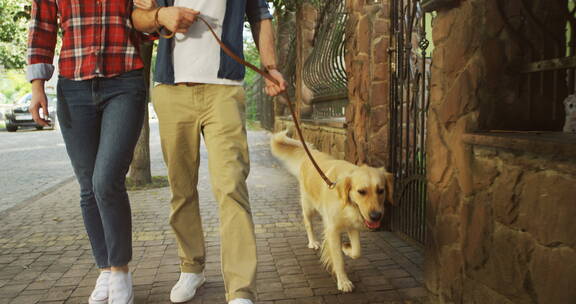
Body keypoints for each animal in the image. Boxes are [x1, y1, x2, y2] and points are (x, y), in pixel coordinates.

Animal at [272, 131, 396, 292]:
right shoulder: (333, 230)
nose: (376, 216)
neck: (346, 202)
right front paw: (343, 281)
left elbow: (357, 251)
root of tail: (310, 153)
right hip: (308, 206)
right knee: (308, 223)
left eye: (381, 190)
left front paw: (346, 248)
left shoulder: (352, 226)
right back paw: (313, 242)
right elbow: (338, 259)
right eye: (361, 192)